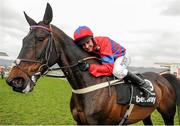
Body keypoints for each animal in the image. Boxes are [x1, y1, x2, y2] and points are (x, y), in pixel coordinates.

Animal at [5, 2, 180, 125]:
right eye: (23, 40)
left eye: (40, 38)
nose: (14, 80)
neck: (88, 86)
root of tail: (164, 77)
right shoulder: (79, 122)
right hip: (146, 114)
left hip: (168, 114)